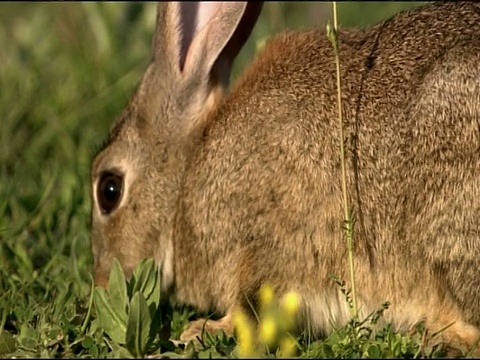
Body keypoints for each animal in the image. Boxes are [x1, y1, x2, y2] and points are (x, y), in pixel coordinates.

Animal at [90, 0, 480, 352]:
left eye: (109, 189)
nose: (101, 282)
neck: (187, 181)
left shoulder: (262, 252)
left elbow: (249, 310)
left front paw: (200, 331)